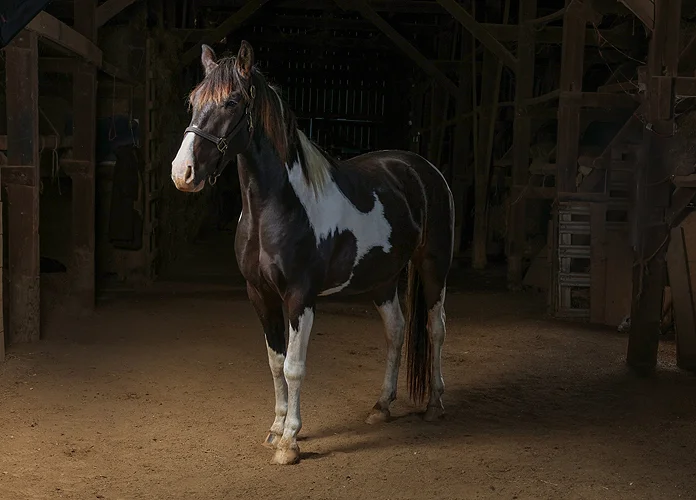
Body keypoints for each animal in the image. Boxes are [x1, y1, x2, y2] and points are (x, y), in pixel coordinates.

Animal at [171, 41, 455, 465]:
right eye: (194, 101)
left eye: (231, 102)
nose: (182, 172)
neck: (277, 208)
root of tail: (423, 169)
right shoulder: (260, 295)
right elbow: (275, 362)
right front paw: (275, 429)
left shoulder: (299, 297)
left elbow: (294, 366)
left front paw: (290, 441)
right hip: (383, 279)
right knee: (396, 331)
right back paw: (381, 406)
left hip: (433, 266)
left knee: (435, 328)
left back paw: (435, 405)